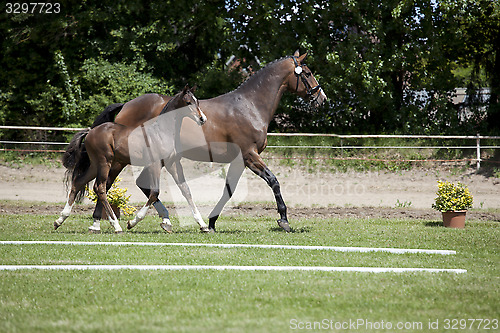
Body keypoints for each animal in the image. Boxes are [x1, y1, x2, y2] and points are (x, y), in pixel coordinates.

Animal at [55, 85, 208, 231]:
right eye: (188, 102)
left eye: (197, 102)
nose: (202, 119)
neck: (162, 132)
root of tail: (90, 131)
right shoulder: (155, 165)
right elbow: (154, 193)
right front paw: (133, 222)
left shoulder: (172, 164)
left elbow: (186, 190)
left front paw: (203, 225)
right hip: (105, 163)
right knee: (100, 188)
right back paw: (116, 226)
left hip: (95, 165)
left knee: (79, 182)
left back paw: (61, 219)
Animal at [117, 50, 328, 231]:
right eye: (307, 73)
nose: (322, 98)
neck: (250, 106)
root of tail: (124, 106)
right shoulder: (250, 155)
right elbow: (273, 181)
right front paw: (283, 220)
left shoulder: (240, 160)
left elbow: (229, 190)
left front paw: (211, 222)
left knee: (144, 184)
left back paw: (165, 221)